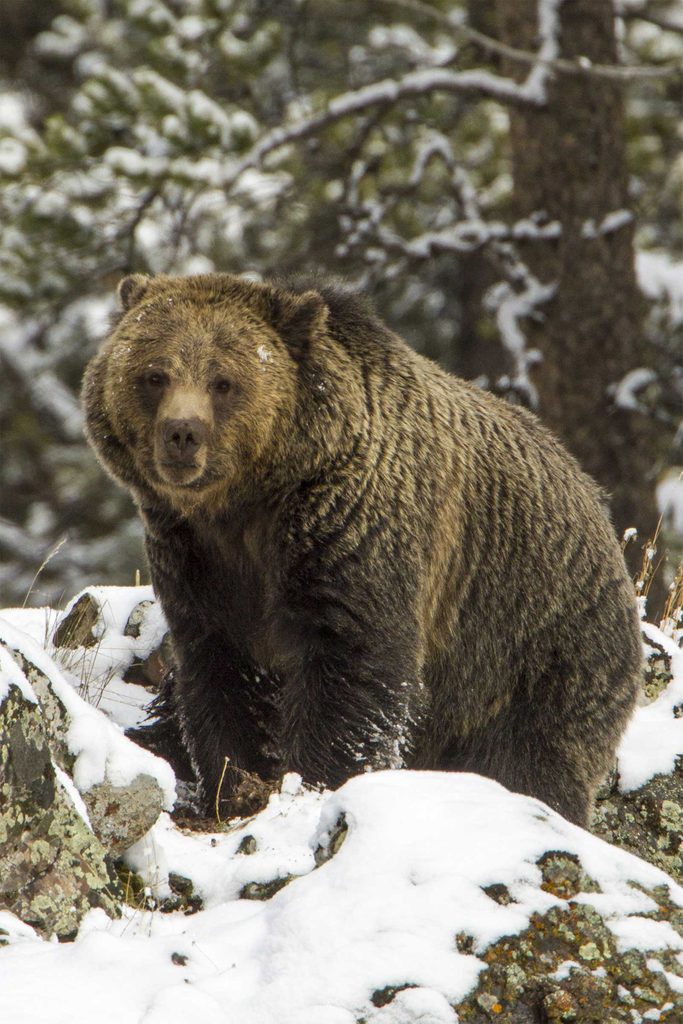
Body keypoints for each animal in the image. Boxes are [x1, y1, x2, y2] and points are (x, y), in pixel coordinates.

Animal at [82, 271, 643, 826]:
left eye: (223, 381)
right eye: (155, 375)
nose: (182, 434)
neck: (248, 503)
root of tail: (596, 501)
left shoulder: (346, 533)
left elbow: (354, 663)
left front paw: (312, 781)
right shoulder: (196, 558)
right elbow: (217, 667)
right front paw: (230, 778)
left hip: (532, 642)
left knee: (533, 756)